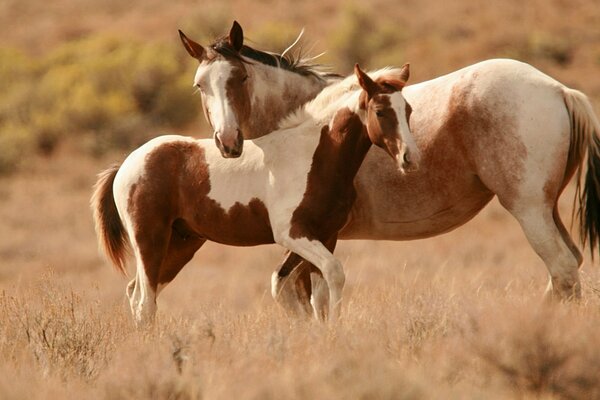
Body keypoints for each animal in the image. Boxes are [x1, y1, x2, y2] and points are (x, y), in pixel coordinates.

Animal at [90, 64, 418, 324]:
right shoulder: (292, 234)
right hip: (150, 240)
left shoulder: (326, 235)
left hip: (181, 244)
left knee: (138, 293)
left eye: (408, 110)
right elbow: (334, 273)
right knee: (144, 302)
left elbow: (320, 292)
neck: (314, 156)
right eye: (380, 111)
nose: (410, 158)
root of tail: (127, 163)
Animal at [180, 21, 600, 316]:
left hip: (528, 210)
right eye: (200, 85)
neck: (309, 127)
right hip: (546, 209)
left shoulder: (312, 236)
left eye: (240, 77)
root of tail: (558, 90)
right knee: (568, 269)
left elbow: (301, 295)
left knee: (562, 270)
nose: (227, 142)